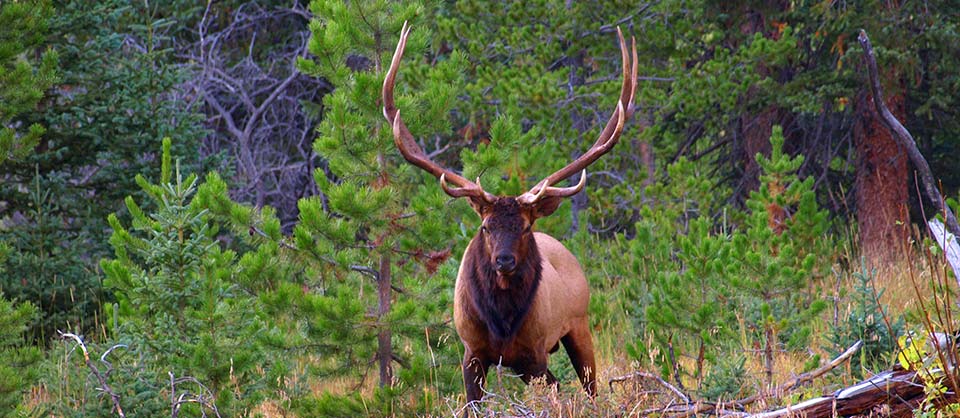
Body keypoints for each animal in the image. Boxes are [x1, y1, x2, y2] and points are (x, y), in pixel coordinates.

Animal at [382, 22, 637, 403]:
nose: (504, 260)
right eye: (486, 226)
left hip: (578, 325)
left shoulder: (534, 353)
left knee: (589, 386)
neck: (501, 321)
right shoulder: (472, 352)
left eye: (525, 227)